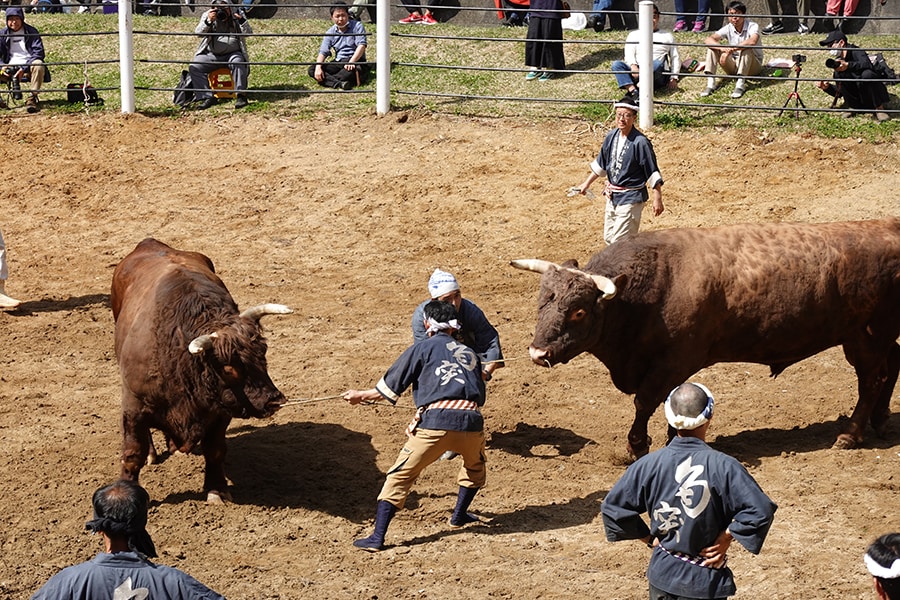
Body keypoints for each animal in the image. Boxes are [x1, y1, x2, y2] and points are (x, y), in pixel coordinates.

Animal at [108, 238, 292, 502]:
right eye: (228, 367)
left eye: (262, 354)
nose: (274, 400)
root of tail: (148, 243)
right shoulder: (133, 406)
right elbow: (133, 453)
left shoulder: (221, 410)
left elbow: (215, 450)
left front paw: (217, 489)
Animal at [512, 218, 900, 458]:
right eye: (542, 299)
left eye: (578, 312)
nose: (537, 352)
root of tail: (888, 226)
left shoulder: (672, 362)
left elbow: (645, 402)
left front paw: (637, 445)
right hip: (867, 336)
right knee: (890, 367)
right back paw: (880, 420)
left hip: (869, 334)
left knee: (872, 380)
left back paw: (851, 433)